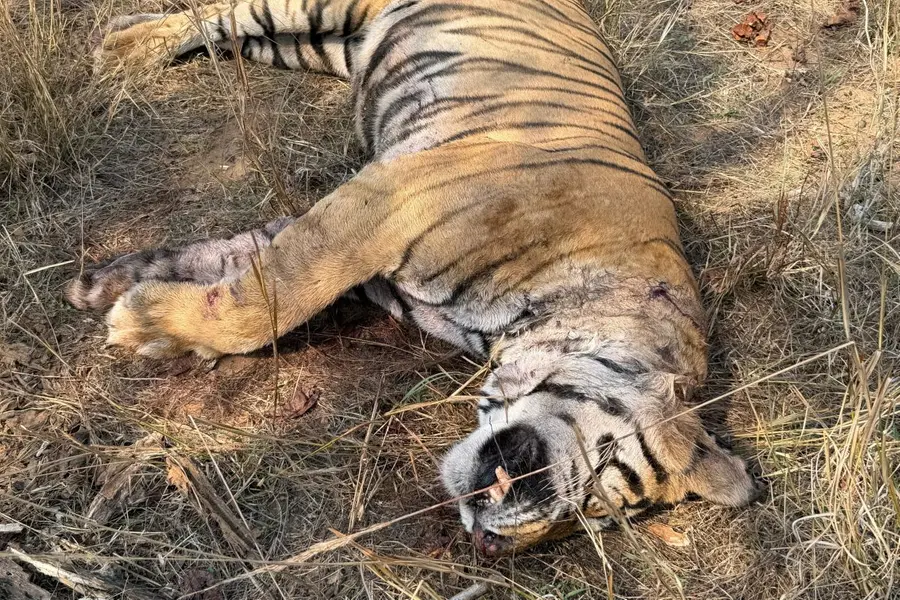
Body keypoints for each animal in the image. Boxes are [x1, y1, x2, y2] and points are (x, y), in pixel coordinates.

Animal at [67, 0, 763, 555]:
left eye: (595, 519)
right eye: (599, 486)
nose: (490, 545)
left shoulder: (365, 261)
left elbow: (241, 264)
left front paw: (116, 291)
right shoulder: (381, 203)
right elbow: (265, 302)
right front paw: (136, 318)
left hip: (324, 47)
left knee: (231, 33)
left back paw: (125, 35)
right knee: (220, 13)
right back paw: (121, 49)